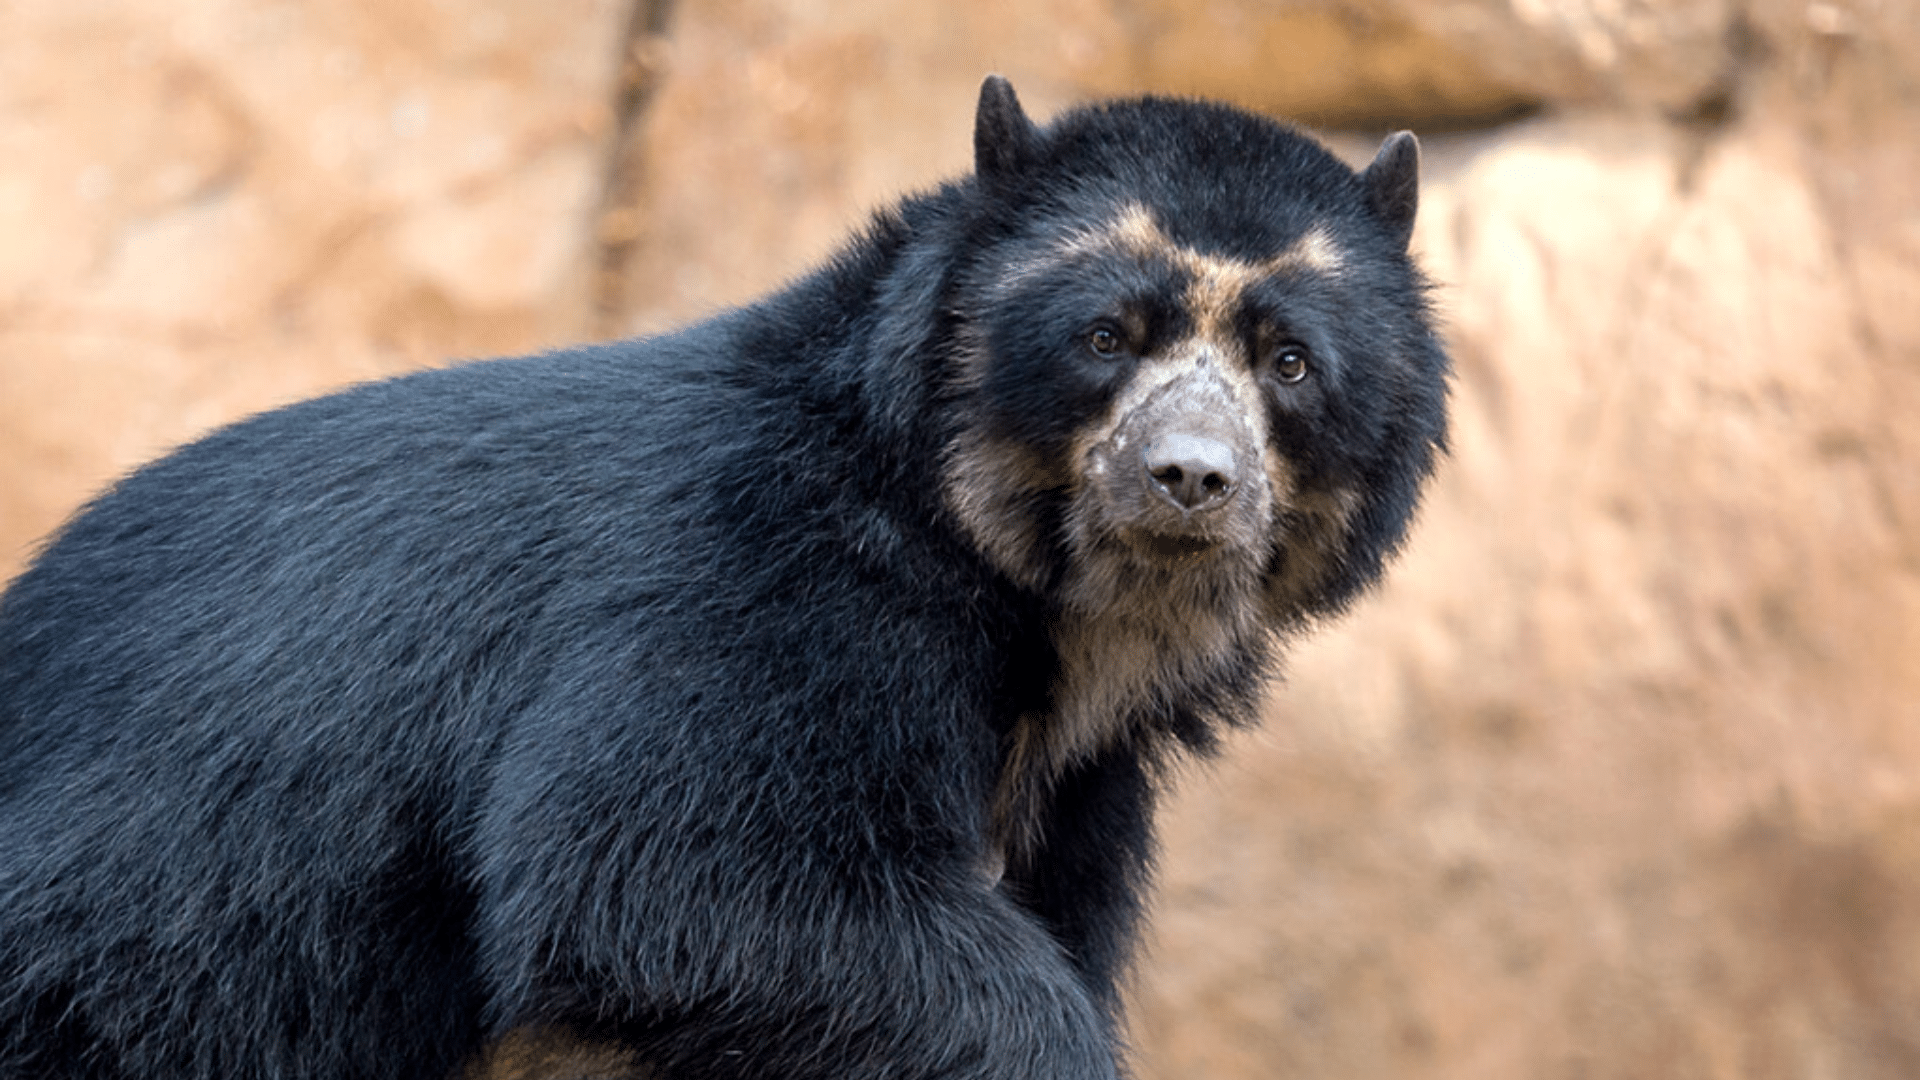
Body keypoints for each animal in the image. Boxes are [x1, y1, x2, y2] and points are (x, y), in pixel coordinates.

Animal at [0, 77, 1443, 1076]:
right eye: (1105, 336)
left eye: (1289, 361)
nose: (1189, 480)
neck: (1050, 608)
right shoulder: (761, 586)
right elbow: (677, 878)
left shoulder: (1085, 795)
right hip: (130, 961)